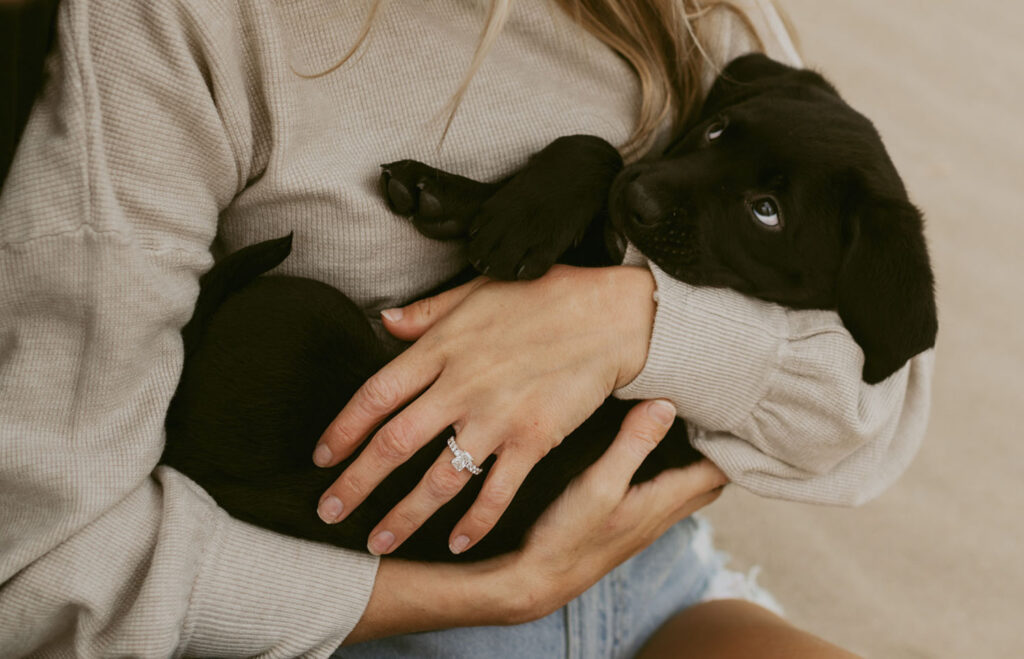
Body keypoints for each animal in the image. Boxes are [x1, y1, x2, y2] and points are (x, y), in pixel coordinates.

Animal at [161, 53, 937, 564]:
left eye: (766, 211)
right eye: (718, 129)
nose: (641, 197)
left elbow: (598, 173)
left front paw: (507, 217)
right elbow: (596, 151)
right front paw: (482, 204)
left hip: (297, 313)